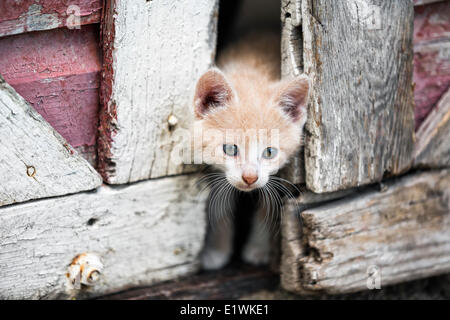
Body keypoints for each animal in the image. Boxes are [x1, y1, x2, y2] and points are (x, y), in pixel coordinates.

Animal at [193, 34, 310, 270]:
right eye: (230, 149)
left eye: (269, 152)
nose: (249, 177)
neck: (253, 70)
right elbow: (220, 205)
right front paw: (216, 250)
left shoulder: (273, 177)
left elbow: (267, 204)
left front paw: (259, 249)